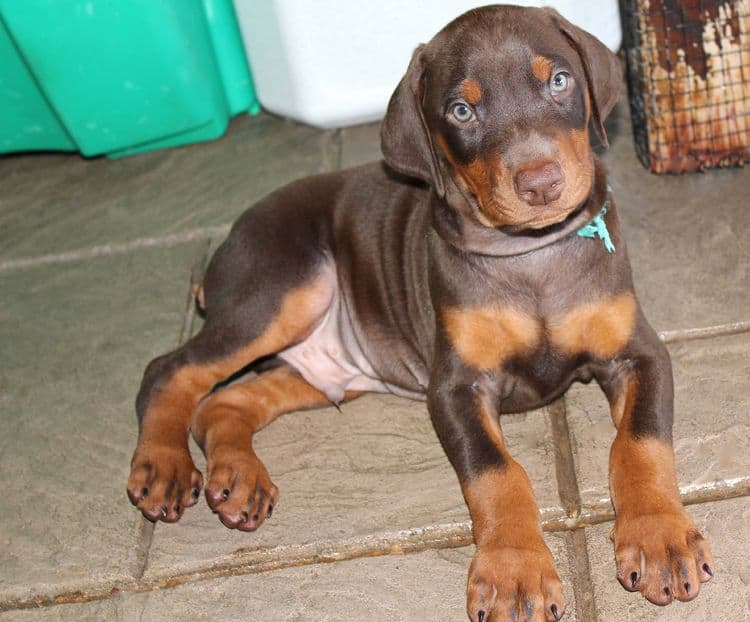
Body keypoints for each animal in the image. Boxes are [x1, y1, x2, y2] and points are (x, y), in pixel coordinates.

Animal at [128, 6, 716, 622]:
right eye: (461, 110)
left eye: (559, 80)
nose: (541, 183)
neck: (531, 257)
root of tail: (226, 243)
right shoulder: (455, 386)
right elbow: (495, 471)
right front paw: (515, 573)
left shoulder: (639, 352)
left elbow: (640, 442)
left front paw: (660, 537)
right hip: (284, 286)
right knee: (170, 370)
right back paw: (165, 466)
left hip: (322, 366)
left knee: (223, 401)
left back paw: (238, 477)